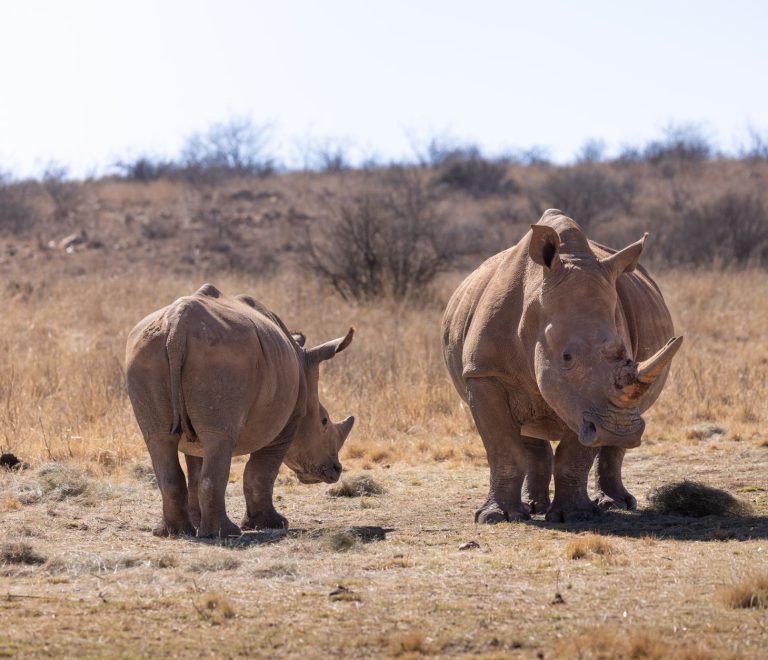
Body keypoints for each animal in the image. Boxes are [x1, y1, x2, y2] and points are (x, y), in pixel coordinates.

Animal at [125, 283, 355, 538]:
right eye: (324, 421)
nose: (336, 470)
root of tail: (177, 327)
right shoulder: (287, 423)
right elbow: (260, 472)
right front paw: (271, 524)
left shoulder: (194, 435)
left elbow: (196, 466)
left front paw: (197, 521)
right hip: (223, 356)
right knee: (219, 438)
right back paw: (225, 533)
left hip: (147, 353)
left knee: (160, 438)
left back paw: (174, 533)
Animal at [442, 210, 682, 523]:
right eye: (566, 357)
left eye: (628, 357)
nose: (620, 431)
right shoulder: (484, 372)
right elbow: (502, 448)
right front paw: (497, 516)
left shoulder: (585, 403)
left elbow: (575, 451)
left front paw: (575, 515)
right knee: (528, 429)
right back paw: (532, 508)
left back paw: (615, 504)